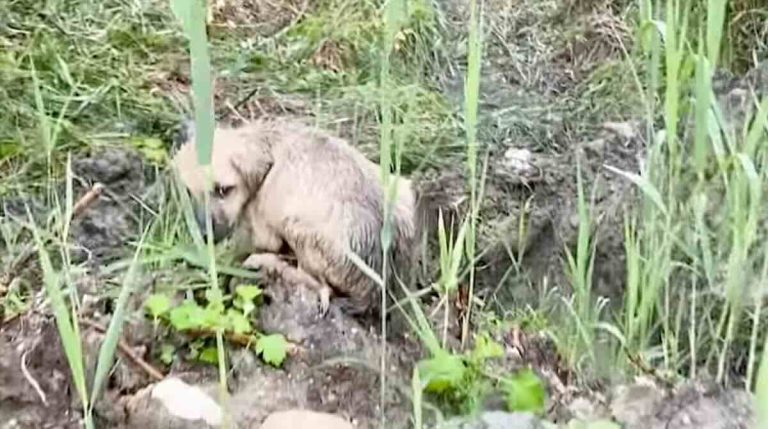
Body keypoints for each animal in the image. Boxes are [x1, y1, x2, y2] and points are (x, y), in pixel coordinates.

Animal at [171, 115, 420, 316]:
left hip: (297, 226)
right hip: (403, 190)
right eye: (188, 192)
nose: (204, 236)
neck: (267, 143)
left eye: (223, 190)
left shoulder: (262, 227)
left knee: (321, 285)